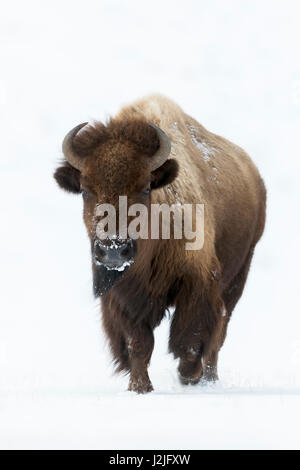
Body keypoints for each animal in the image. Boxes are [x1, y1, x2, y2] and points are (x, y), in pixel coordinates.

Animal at [54, 94, 264, 392]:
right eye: (85, 189)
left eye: (144, 188)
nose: (113, 251)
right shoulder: (125, 296)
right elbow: (138, 343)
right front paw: (140, 386)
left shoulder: (198, 282)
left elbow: (191, 338)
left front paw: (188, 375)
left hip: (238, 276)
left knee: (219, 333)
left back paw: (207, 378)